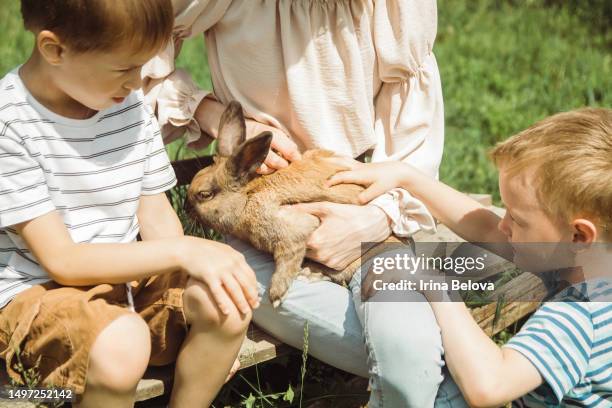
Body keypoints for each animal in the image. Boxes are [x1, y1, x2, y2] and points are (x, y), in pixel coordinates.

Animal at [186, 101, 382, 306]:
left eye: (205, 194)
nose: (185, 208)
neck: (248, 195)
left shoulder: (294, 228)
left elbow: (288, 257)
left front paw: (276, 296)